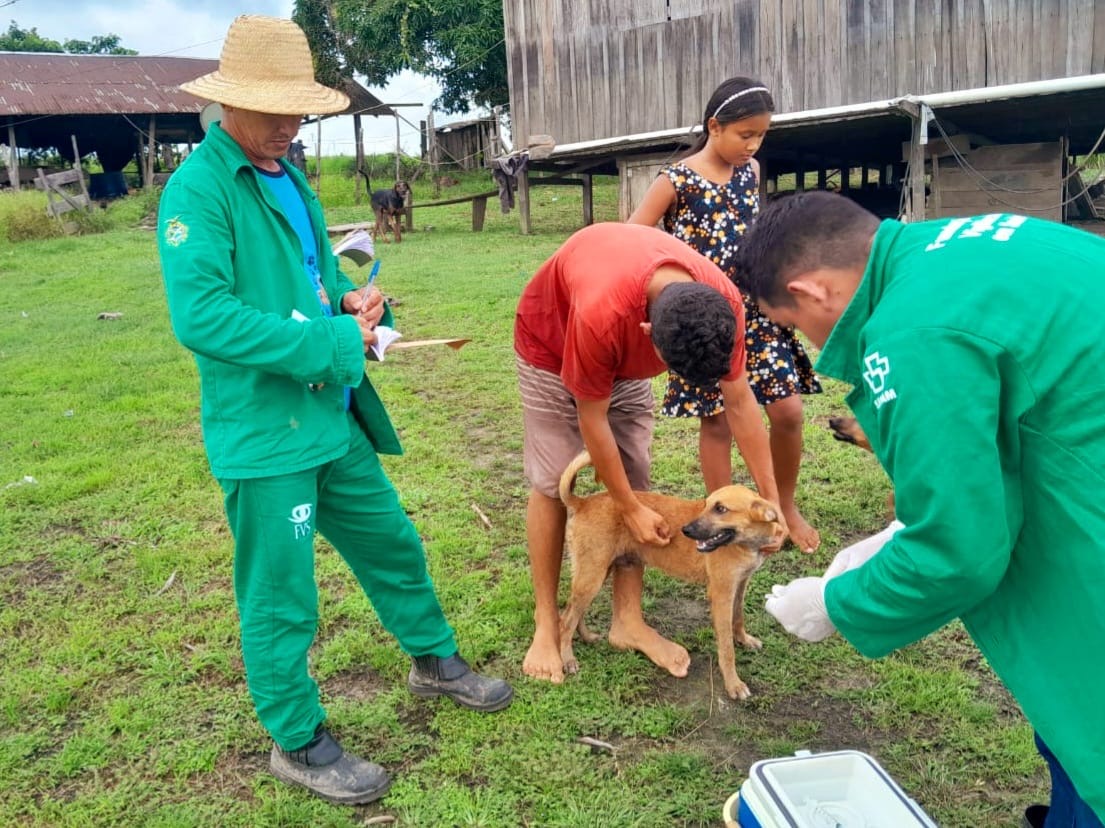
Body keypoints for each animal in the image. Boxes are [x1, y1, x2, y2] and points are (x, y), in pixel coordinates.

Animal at [561, 453, 786, 698]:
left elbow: (739, 617)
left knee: (574, 612)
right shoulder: (721, 595)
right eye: (707, 505)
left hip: (597, 572)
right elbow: (726, 648)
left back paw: (586, 637)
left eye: (721, 509)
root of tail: (583, 502)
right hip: (592, 576)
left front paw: (743, 640)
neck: (744, 543)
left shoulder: (740, 585)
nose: (685, 531)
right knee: (565, 619)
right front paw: (733, 684)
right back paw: (567, 659)